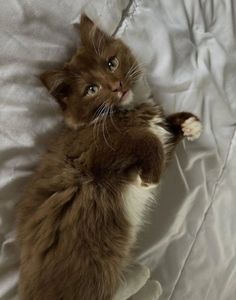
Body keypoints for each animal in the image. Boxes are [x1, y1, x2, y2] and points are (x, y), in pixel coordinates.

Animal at [15, 14, 202, 300]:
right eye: (92, 89)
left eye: (111, 63)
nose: (118, 87)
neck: (127, 110)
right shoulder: (89, 153)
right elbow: (145, 140)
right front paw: (151, 176)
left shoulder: (151, 140)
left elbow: (163, 137)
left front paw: (189, 124)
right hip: (95, 264)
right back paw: (145, 280)